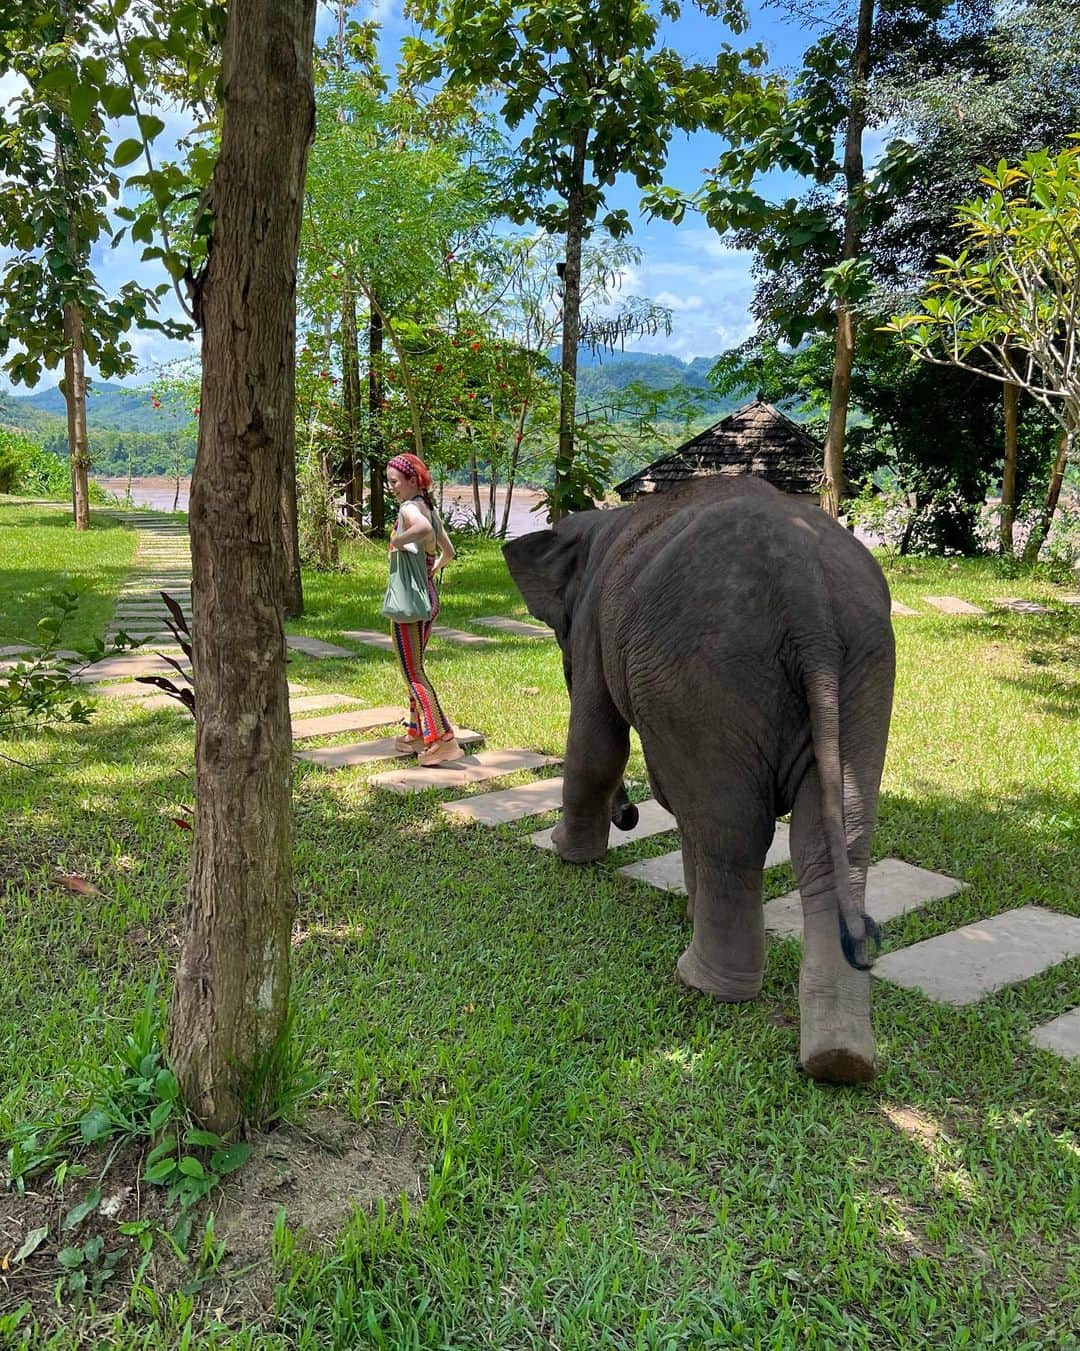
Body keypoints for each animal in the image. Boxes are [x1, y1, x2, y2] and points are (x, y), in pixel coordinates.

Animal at [508, 475, 897, 1086]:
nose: (628, 816)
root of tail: (807, 591)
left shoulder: (595, 622)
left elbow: (598, 743)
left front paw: (565, 855)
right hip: (862, 669)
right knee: (832, 838)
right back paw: (840, 1058)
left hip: (706, 671)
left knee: (731, 829)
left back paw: (703, 983)